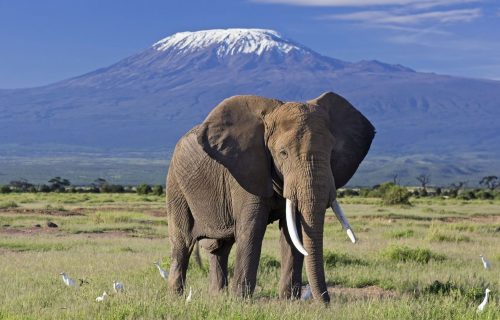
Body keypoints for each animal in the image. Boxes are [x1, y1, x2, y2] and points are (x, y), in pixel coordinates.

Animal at [166, 92, 374, 302]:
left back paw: (218, 296)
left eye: (331, 152)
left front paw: (289, 301)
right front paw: (241, 301)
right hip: (175, 184)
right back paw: (177, 297)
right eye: (283, 153)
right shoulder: (246, 171)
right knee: (183, 242)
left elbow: (293, 232)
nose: (326, 304)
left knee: (220, 247)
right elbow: (252, 229)